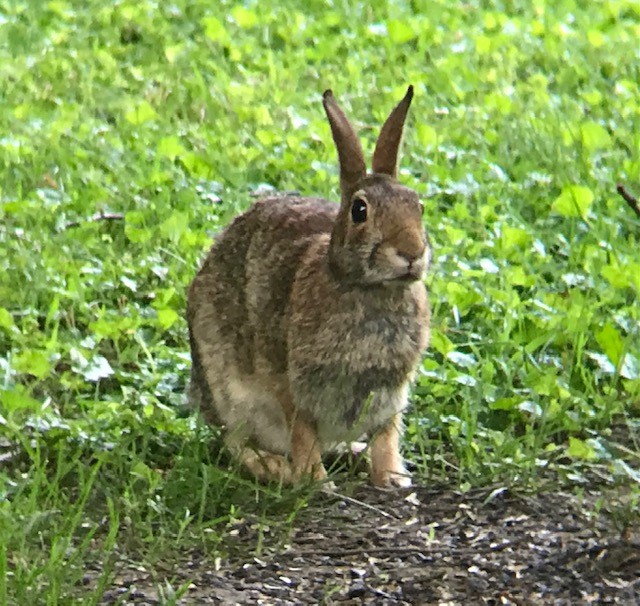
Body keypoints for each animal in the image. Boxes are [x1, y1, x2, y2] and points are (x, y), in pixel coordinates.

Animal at [188, 86, 432, 490]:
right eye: (360, 210)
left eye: (419, 206)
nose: (411, 253)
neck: (370, 289)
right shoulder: (293, 385)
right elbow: (303, 433)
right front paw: (316, 481)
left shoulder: (390, 395)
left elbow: (386, 436)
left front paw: (392, 479)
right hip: (226, 388)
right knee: (234, 441)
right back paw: (273, 467)